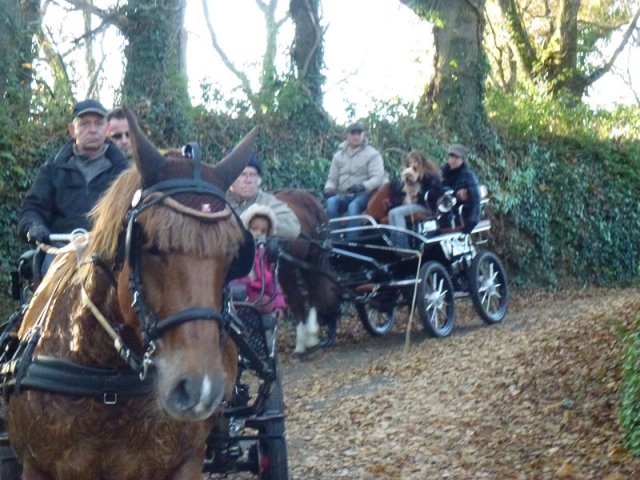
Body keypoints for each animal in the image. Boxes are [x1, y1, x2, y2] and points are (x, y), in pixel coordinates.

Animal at [2, 109, 257, 480]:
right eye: (147, 244)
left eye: (235, 254)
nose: (200, 388)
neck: (107, 379)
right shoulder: (37, 466)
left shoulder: (187, 460)